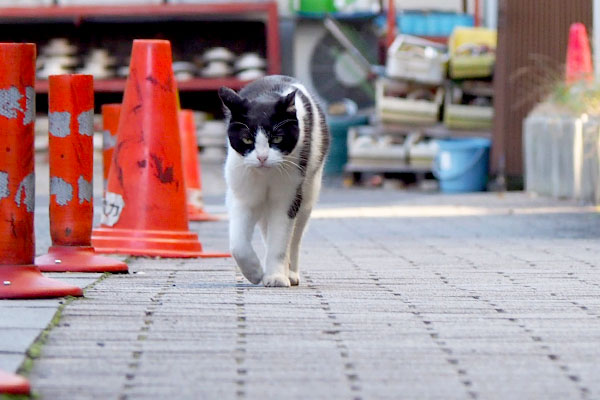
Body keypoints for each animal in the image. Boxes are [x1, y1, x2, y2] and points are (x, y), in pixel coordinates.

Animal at [220, 76, 330, 288]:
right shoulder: (242, 197)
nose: (262, 157)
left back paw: (291, 272)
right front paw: (255, 272)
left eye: (277, 138)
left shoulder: (287, 199)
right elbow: (238, 244)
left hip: (308, 194)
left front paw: (276, 276)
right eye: (247, 140)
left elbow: (280, 241)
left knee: (294, 238)